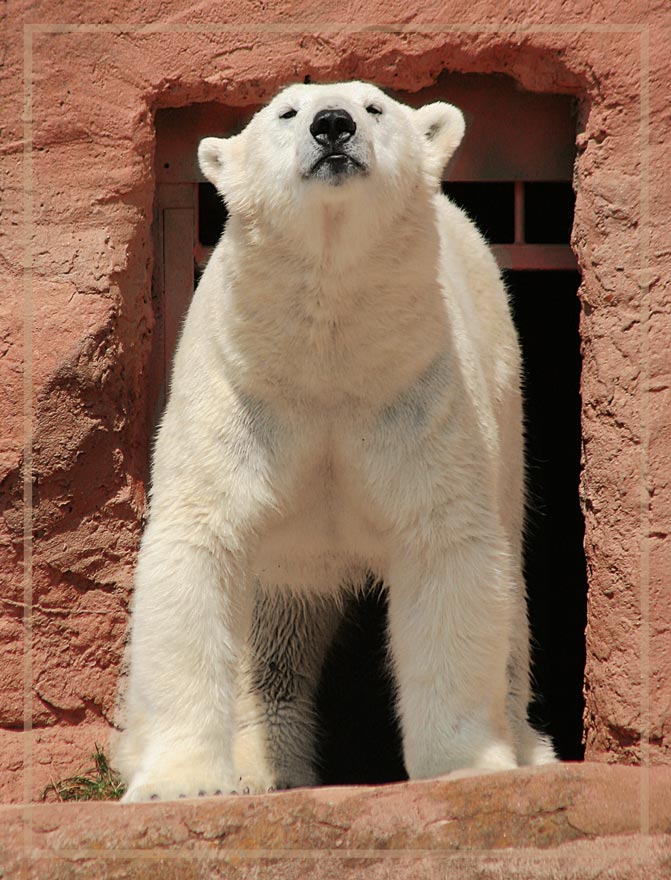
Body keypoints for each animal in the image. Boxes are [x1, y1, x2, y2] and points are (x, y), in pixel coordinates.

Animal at [117, 79, 556, 800]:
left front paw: (463, 764)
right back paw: (257, 767)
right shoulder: (240, 401)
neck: (326, 361)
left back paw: (529, 748)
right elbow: (198, 548)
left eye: (375, 106)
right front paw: (179, 784)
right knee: (274, 628)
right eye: (285, 112)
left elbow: (448, 551)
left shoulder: (418, 397)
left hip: (506, 405)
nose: (332, 125)